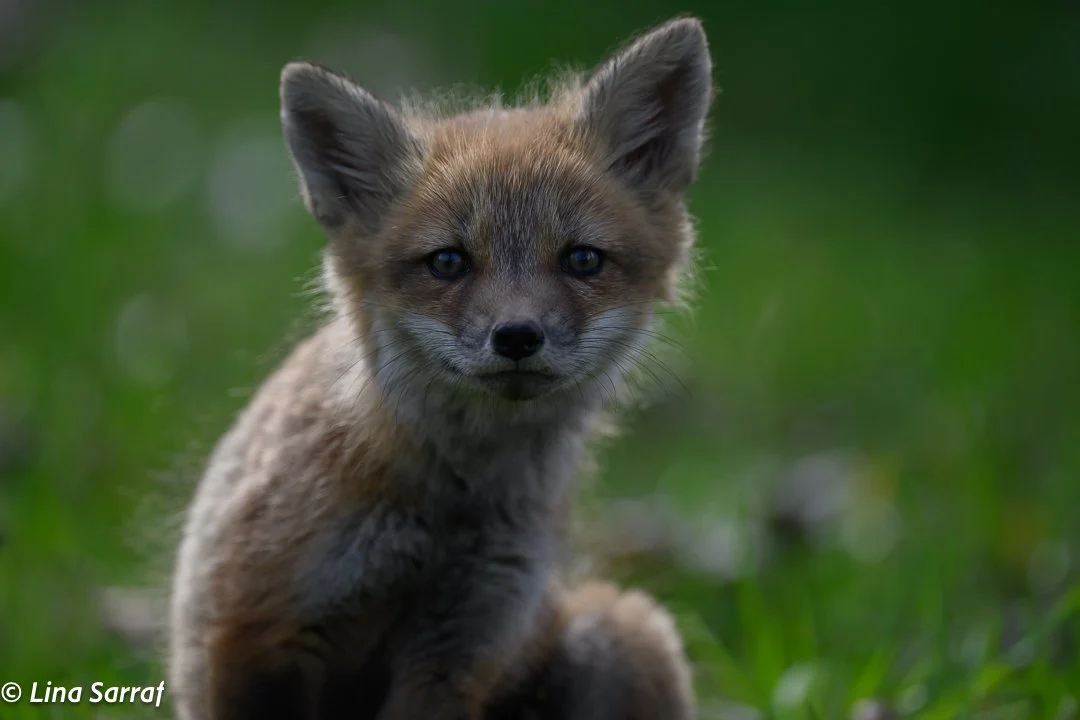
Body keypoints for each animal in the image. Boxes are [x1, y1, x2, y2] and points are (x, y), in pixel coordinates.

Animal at [167, 15, 713, 720]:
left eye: (583, 260)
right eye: (449, 262)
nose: (517, 336)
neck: (450, 504)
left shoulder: (462, 644)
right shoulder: (257, 627)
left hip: (627, 633)